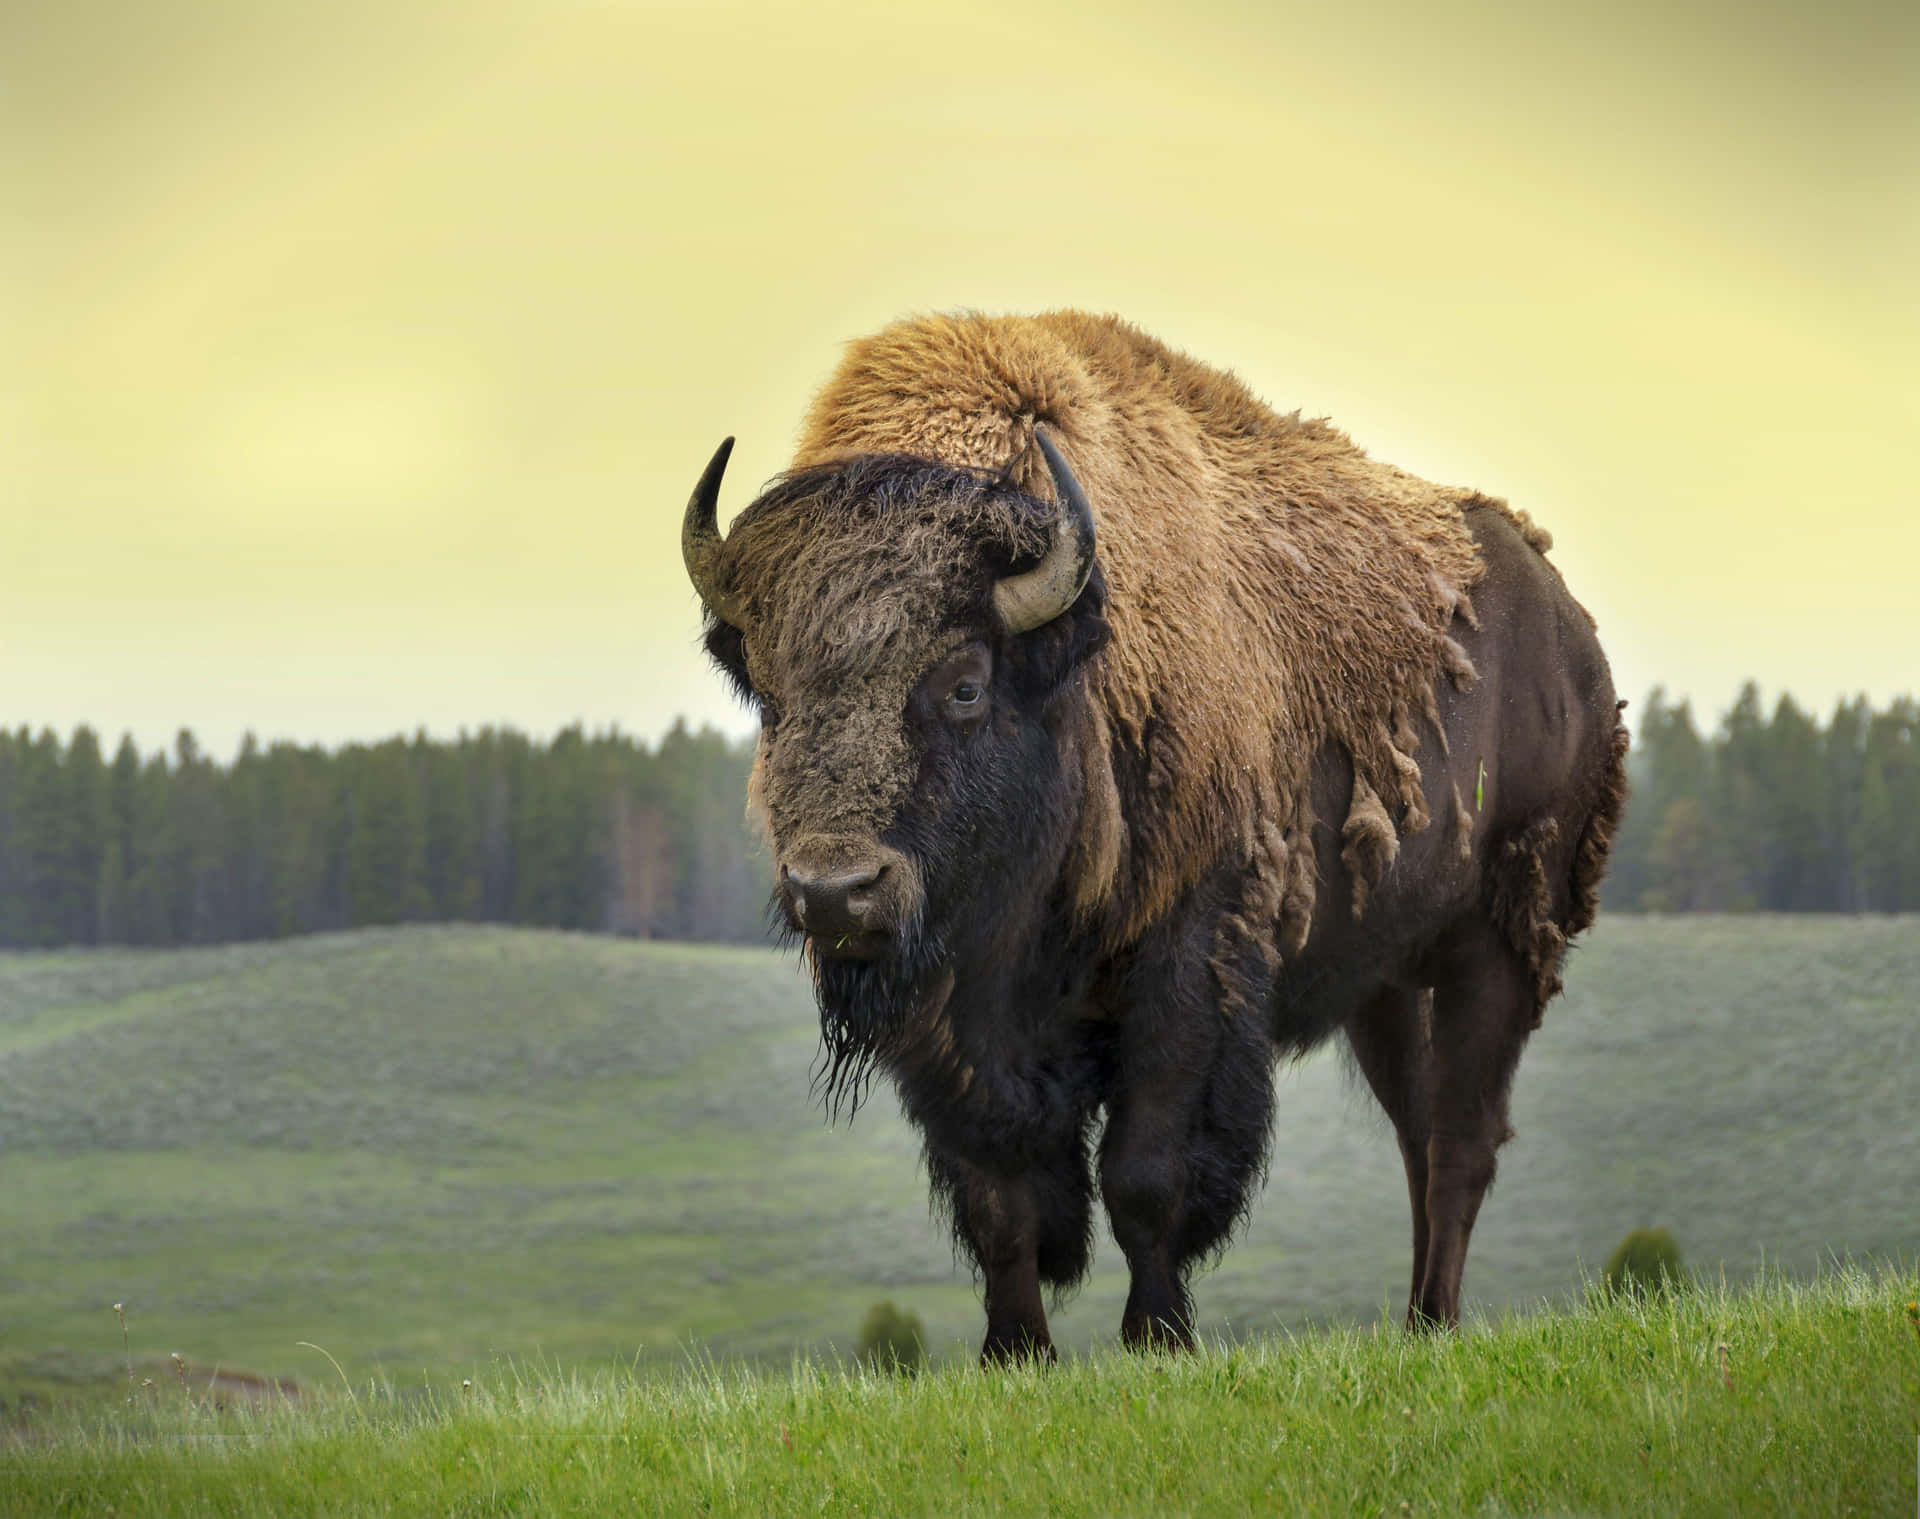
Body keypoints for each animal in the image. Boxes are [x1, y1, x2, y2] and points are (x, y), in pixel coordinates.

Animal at [683, 314, 1628, 1359]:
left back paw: (1432, 1319)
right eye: (769, 692)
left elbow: (1146, 1173)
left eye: (965, 682)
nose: (833, 889)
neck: (1072, 671)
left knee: (1461, 1139)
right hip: (1384, 980)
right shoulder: (952, 1023)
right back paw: (1422, 1324)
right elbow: (997, 1193)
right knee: (1420, 1134)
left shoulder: (1188, 959)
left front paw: (1157, 1336)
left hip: (1497, 943)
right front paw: (1017, 1351)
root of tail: (1570, 633)